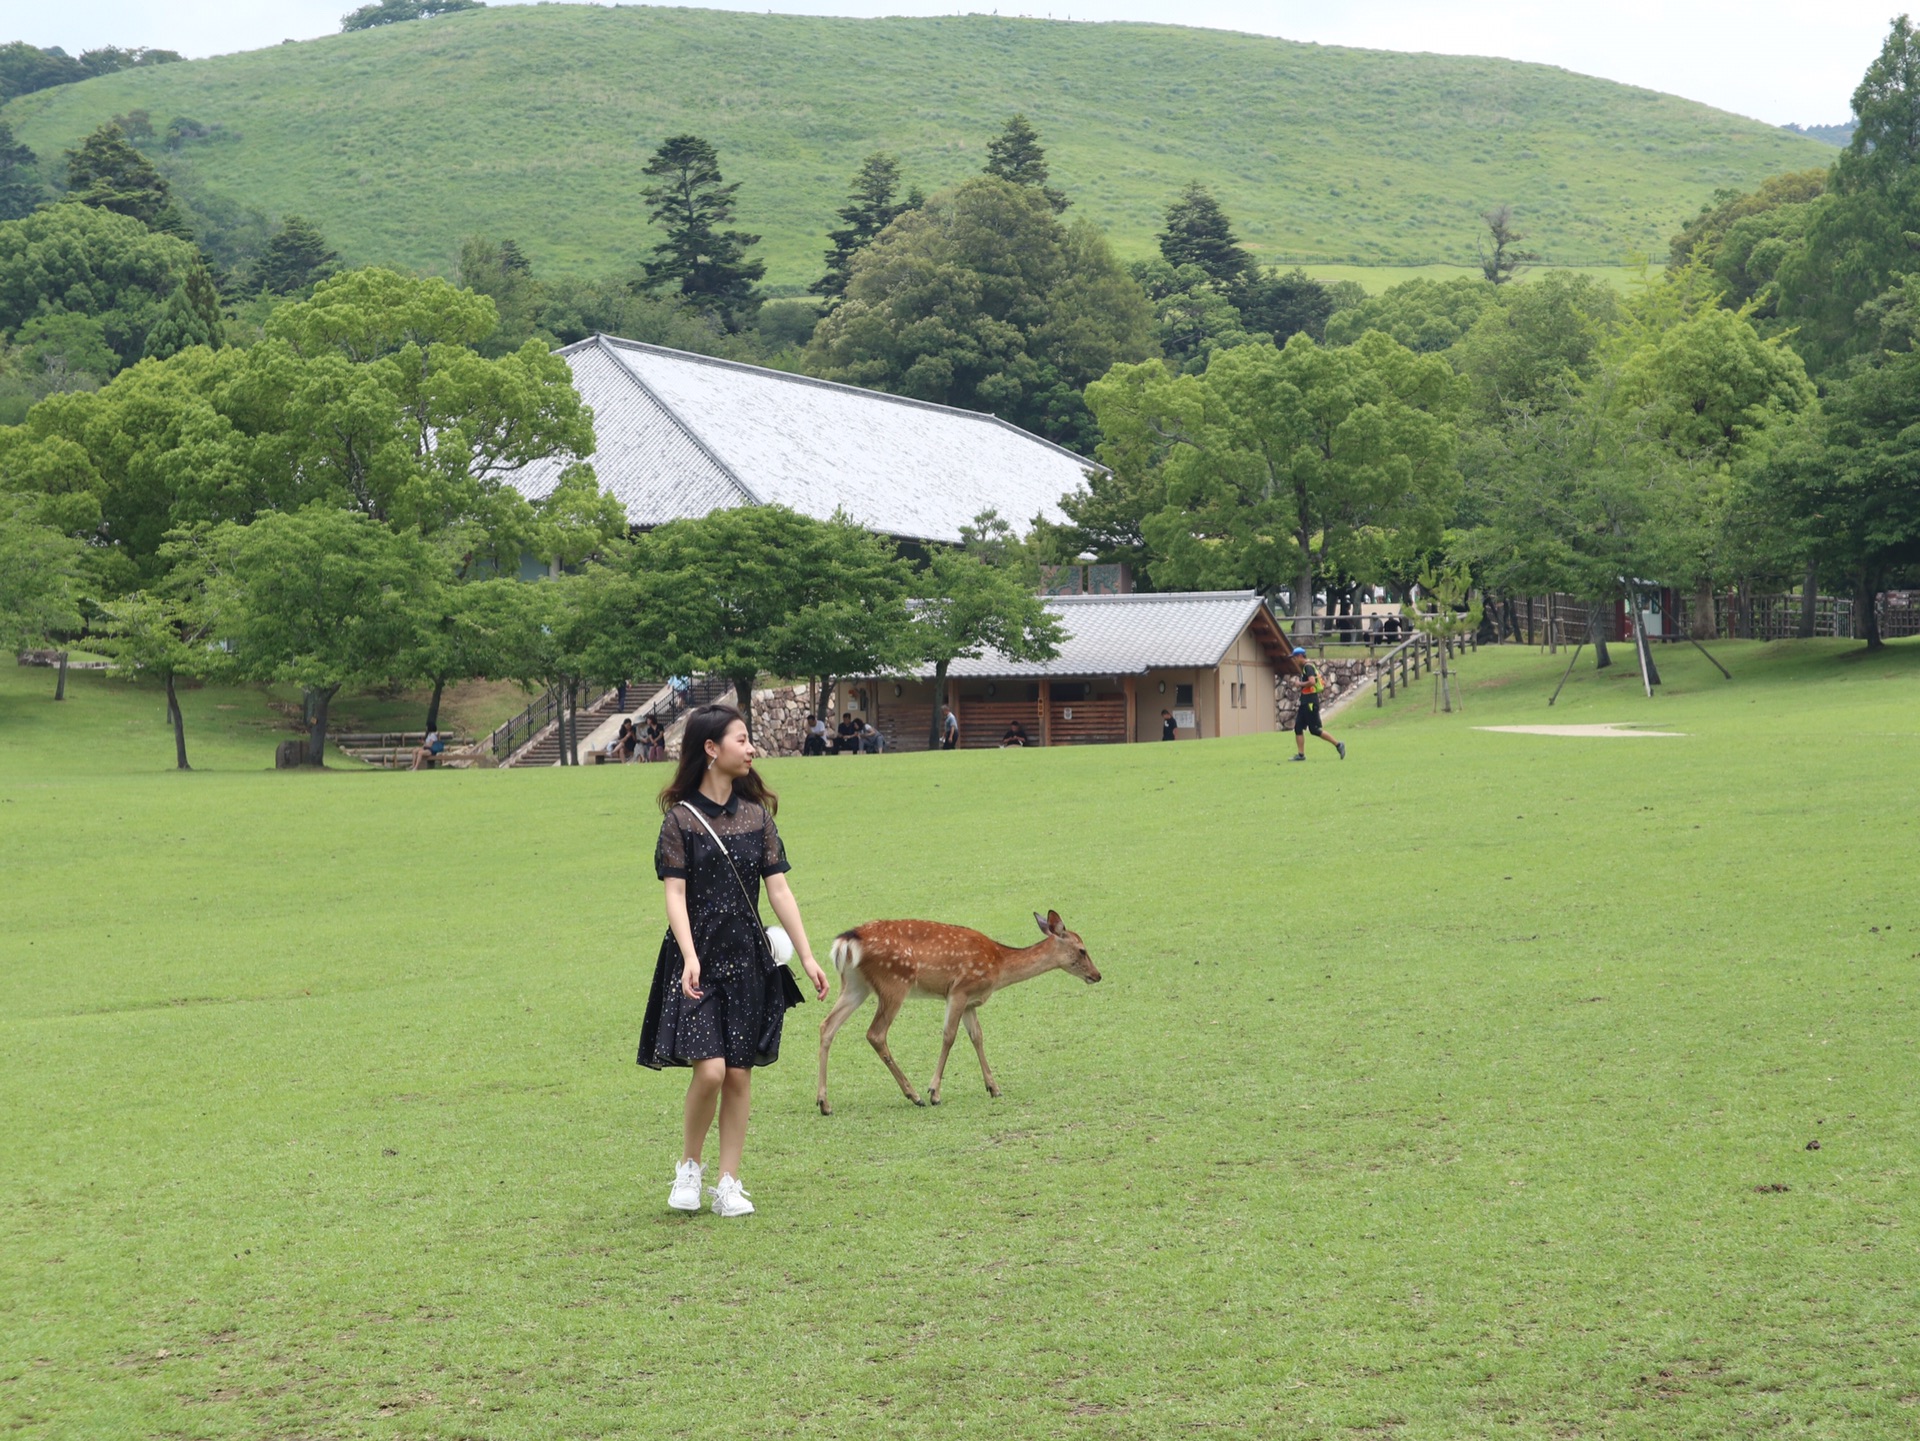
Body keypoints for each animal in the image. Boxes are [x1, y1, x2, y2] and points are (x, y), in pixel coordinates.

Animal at [817, 905, 1105, 1120]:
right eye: (1082, 950)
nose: (1097, 975)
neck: (998, 967)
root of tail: (846, 941)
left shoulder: (970, 1002)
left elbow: (977, 1037)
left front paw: (994, 1088)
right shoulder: (959, 990)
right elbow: (949, 1036)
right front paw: (934, 1092)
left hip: (856, 985)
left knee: (827, 1025)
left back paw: (824, 1103)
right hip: (894, 982)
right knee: (875, 1034)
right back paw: (914, 1095)